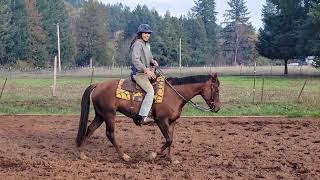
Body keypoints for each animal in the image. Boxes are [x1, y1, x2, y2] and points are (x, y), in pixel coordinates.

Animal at [75, 73, 220, 162]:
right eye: (217, 90)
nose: (217, 108)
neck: (174, 94)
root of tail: (98, 85)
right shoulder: (161, 121)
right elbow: (168, 140)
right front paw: (153, 155)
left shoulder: (172, 122)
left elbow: (171, 139)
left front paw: (171, 159)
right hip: (109, 114)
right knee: (110, 133)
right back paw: (124, 156)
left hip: (100, 115)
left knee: (90, 129)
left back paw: (82, 154)